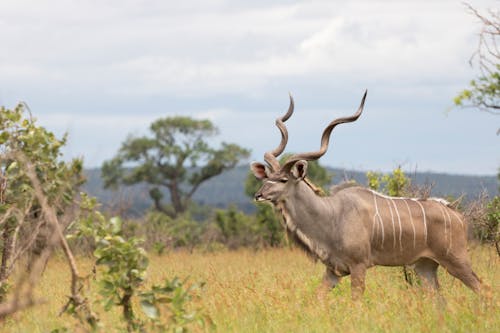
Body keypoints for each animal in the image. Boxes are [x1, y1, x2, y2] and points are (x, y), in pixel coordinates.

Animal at [252, 91, 482, 298]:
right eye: (266, 178)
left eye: (283, 180)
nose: (258, 195)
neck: (331, 215)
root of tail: (457, 215)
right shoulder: (333, 271)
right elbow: (317, 297)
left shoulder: (358, 266)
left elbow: (356, 300)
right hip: (425, 266)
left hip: (456, 261)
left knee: (482, 288)